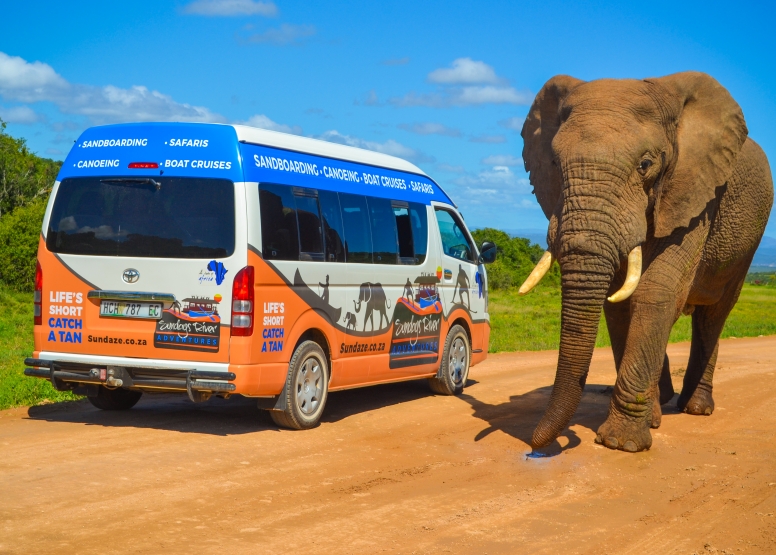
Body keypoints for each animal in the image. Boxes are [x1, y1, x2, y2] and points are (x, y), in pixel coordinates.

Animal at [520, 73, 772, 456]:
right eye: (554, 164)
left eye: (645, 165)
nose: (535, 449)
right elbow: (618, 302)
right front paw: (646, 422)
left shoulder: (697, 194)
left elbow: (656, 291)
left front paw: (621, 444)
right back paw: (663, 402)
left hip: (748, 240)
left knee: (714, 314)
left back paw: (696, 408)